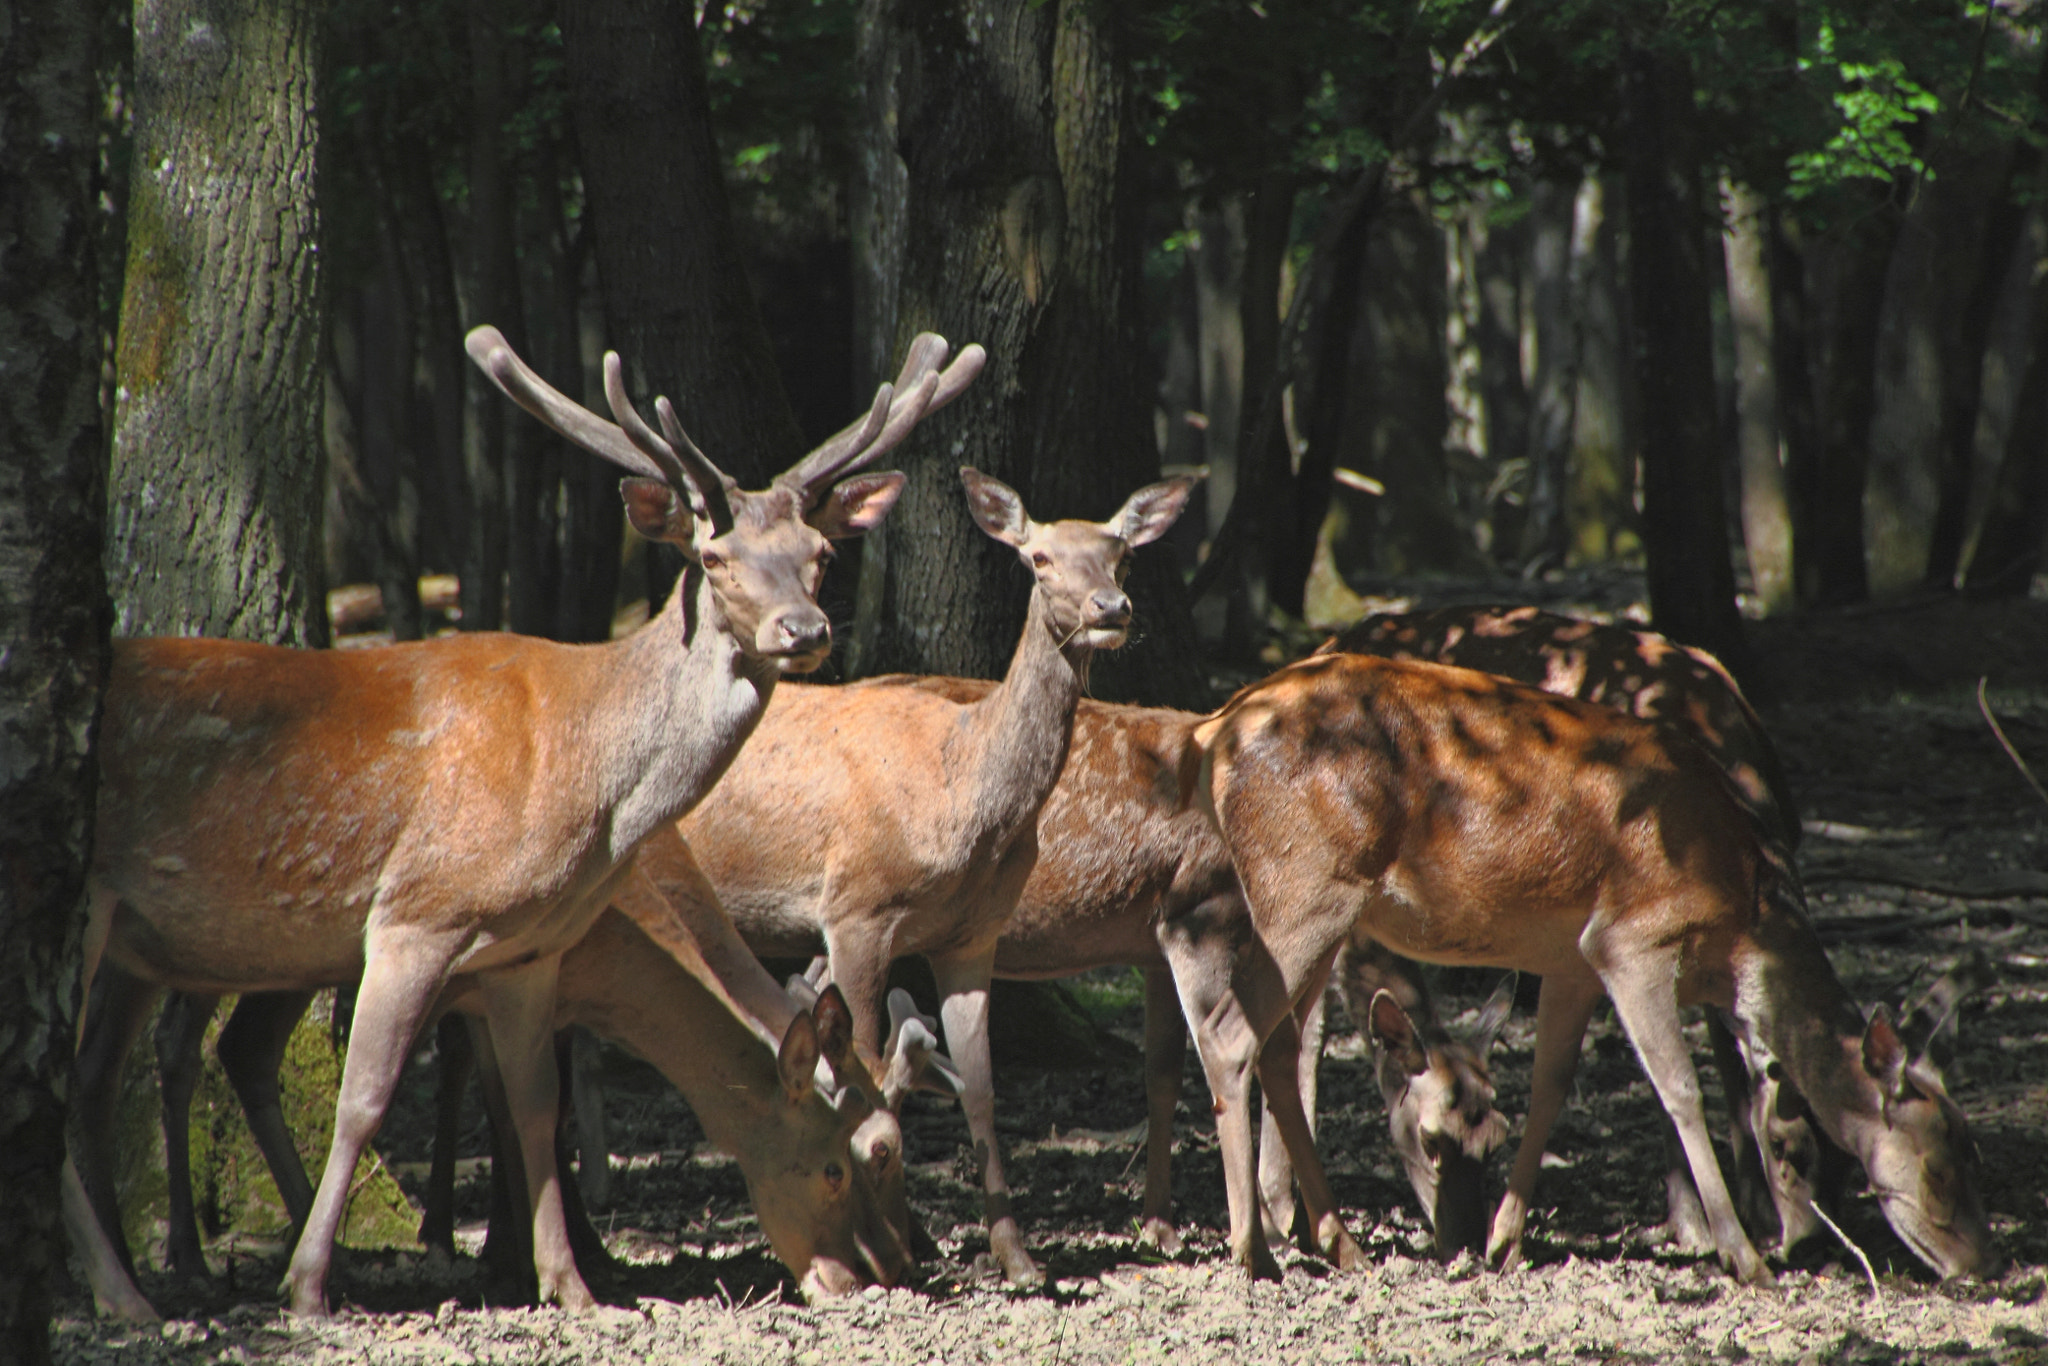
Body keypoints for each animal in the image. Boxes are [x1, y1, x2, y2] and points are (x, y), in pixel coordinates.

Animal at [72, 325, 983, 1318]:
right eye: (713, 559)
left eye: (820, 553)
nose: (803, 629)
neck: (585, 795)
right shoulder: (418, 915)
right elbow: (367, 1099)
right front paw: (309, 1287)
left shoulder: (526, 952)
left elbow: (537, 1108)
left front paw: (573, 1286)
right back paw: (131, 1292)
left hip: (148, 941)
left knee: (96, 1080)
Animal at [671, 471, 1196, 1286]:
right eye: (1039, 557)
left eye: (1122, 554)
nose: (1111, 609)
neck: (960, 797)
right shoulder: (857, 909)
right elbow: (860, 1068)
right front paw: (900, 1240)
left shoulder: (972, 937)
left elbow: (978, 1087)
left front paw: (1017, 1258)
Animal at [1187, 655, 1998, 1286]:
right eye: (1936, 1161)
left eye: (1972, 1147)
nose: (1978, 1264)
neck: (1742, 921)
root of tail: (1214, 731)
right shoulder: (1629, 939)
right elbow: (1679, 1090)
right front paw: (1744, 1259)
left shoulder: (1570, 960)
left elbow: (1550, 1083)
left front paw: (1503, 1243)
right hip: (1306, 889)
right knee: (1230, 1033)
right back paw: (1253, 1252)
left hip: (1320, 907)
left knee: (1279, 1045)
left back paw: (1339, 1245)